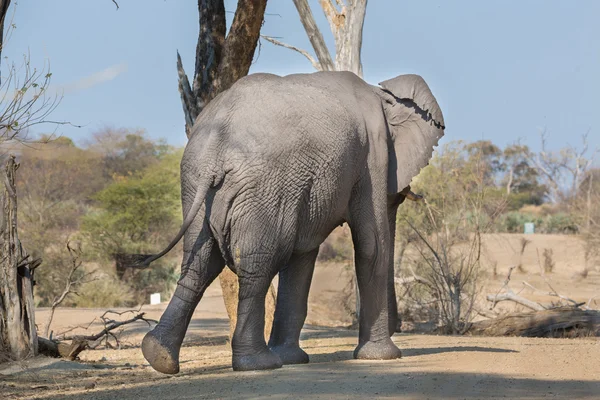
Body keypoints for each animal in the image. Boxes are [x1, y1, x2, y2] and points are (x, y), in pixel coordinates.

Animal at [137, 70, 446, 374]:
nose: (400, 327)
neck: (382, 93)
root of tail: (214, 151)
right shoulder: (371, 157)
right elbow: (372, 246)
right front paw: (383, 357)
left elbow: (301, 256)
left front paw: (293, 358)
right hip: (262, 188)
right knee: (257, 265)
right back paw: (258, 364)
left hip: (197, 185)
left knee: (199, 265)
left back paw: (159, 356)